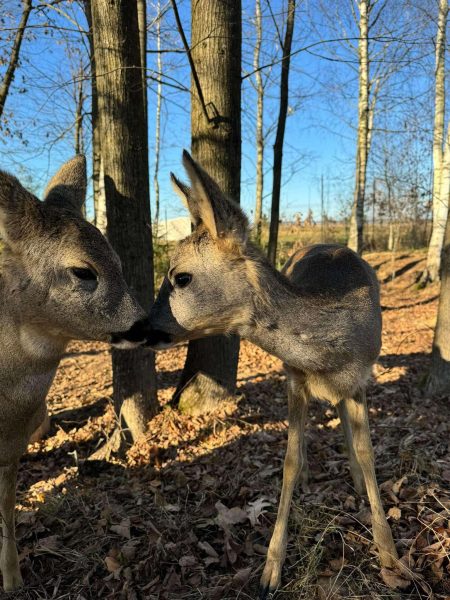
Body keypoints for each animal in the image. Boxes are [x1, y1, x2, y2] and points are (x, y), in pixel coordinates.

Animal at [147, 150, 398, 596]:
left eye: (181, 277)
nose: (141, 328)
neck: (329, 355)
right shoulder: (294, 378)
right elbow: (290, 461)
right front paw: (270, 571)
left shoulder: (361, 377)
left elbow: (369, 453)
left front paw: (389, 554)